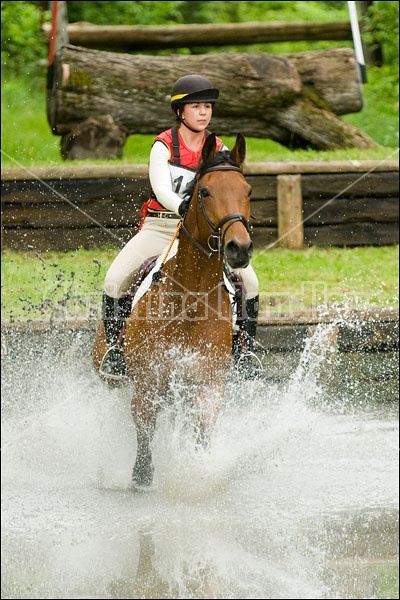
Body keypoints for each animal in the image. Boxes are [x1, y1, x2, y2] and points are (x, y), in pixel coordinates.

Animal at [92, 132, 252, 488]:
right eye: (204, 192)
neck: (190, 300)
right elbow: (144, 431)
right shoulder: (147, 384)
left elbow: (201, 433)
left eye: (247, 191)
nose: (240, 248)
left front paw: (196, 471)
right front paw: (142, 476)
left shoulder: (206, 385)